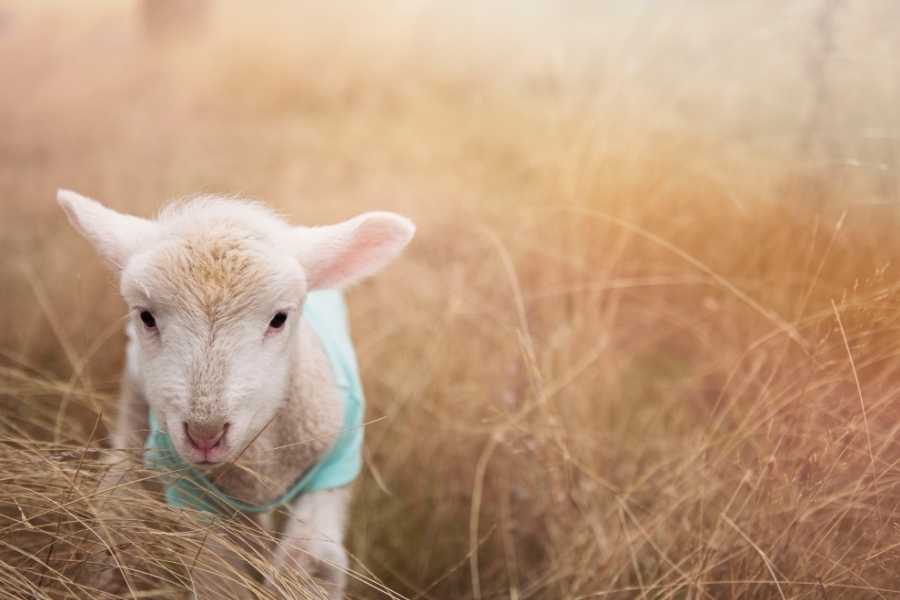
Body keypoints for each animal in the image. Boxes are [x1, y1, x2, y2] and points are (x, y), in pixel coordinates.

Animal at [57, 190, 415, 599]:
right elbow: (220, 577)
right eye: (146, 316)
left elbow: (312, 566)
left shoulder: (332, 470)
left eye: (280, 318)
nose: (205, 433)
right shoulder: (200, 495)